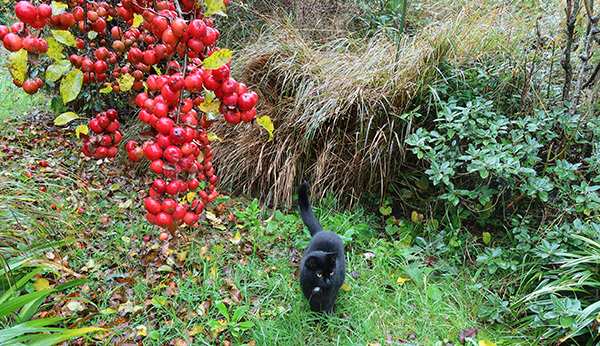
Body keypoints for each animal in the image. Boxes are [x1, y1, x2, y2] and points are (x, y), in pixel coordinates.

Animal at [296, 181, 344, 314]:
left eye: (331, 272)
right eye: (319, 274)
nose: (328, 281)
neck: (318, 288)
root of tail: (322, 232)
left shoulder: (331, 295)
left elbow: (327, 306)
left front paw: (326, 317)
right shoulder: (309, 295)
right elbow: (314, 307)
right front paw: (315, 317)